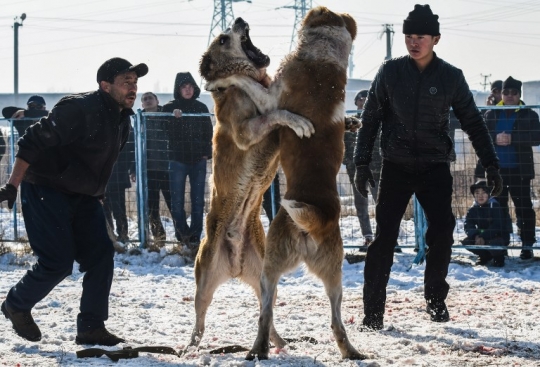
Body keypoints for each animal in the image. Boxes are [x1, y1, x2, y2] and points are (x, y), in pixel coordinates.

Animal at [190, 18, 314, 352]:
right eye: (222, 39)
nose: (240, 20)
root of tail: (234, 265)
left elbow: (277, 117)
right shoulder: (247, 132)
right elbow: (276, 115)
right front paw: (298, 121)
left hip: (265, 277)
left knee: (266, 314)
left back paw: (279, 342)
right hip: (204, 280)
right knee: (200, 319)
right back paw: (191, 347)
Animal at [205, 6, 364, 362]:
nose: (239, 21)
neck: (326, 55)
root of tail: (316, 222)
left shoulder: (270, 98)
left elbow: (244, 81)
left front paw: (223, 79)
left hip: (269, 267)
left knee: (265, 315)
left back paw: (258, 350)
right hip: (335, 278)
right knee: (336, 321)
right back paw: (350, 351)